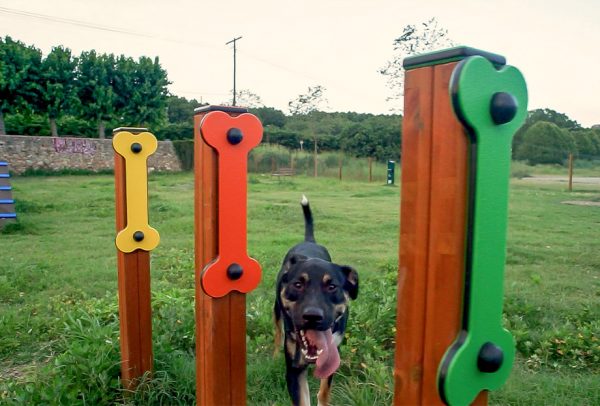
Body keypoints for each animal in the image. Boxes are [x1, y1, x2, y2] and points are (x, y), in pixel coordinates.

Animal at [274, 195, 358, 404]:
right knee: (278, 332)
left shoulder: (333, 351)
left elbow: (324, 391)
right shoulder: (294, 370)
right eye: (298, 284)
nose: (312, 316)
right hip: (276, 311)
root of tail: (309, 240)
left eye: (332, 286)